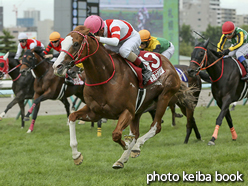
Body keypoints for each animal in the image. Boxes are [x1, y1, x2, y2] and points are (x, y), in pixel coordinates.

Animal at [52, 25, 194, 169]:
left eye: (75, 44)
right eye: (62, 44)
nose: (57, 66)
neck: (105, 76)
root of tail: (170, 65)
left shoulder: (127, 111)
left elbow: (116, 135)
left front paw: (127, 145)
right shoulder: (95, 112)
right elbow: (72, 117)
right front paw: (76, 156)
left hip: (164, 97)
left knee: (155, 126)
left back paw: (135, 147)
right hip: (139, 109)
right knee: (136, 133)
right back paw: (122, 158)